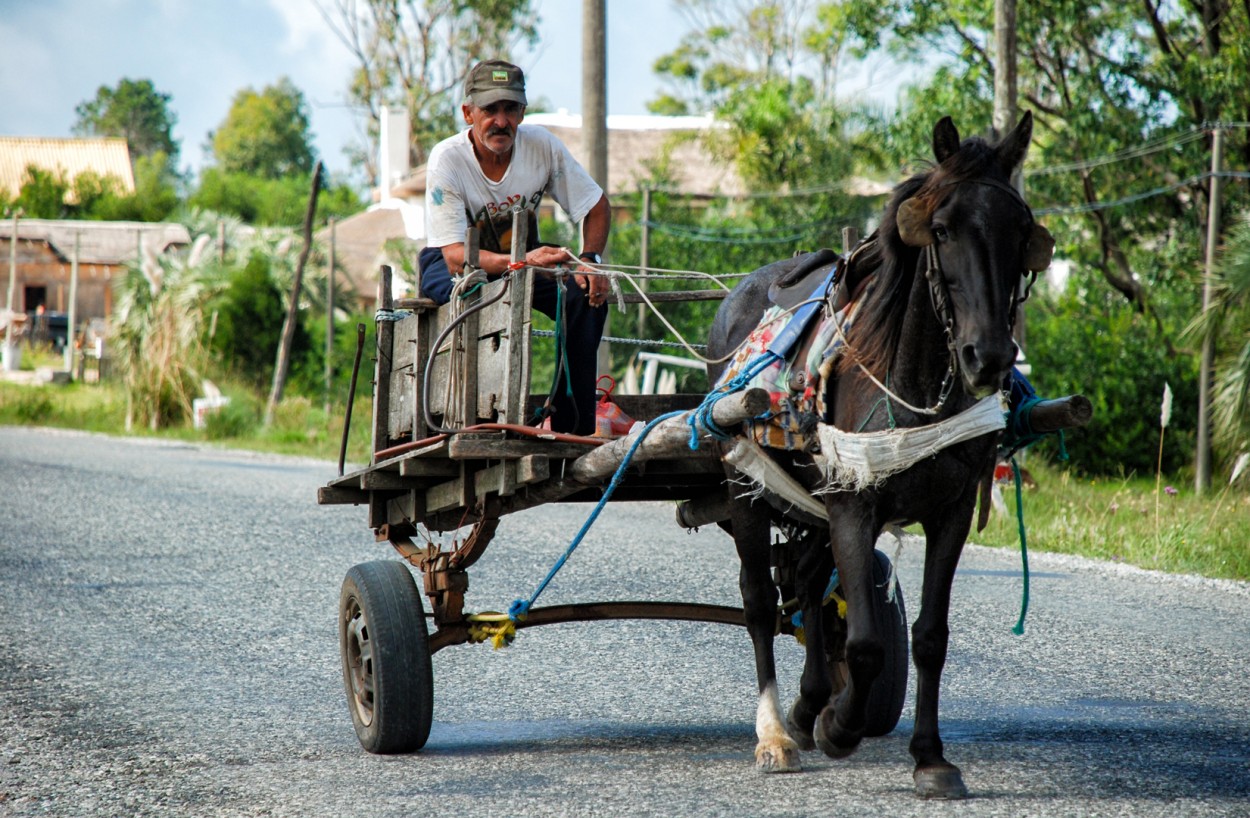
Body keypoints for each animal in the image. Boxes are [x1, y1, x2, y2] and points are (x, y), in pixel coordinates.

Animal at [710, 111, 1050, 800]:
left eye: (1020, 231)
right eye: (941, 230)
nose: (988, 357)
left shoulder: (949, 512)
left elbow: (930, 637)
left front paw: (930, 757)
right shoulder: (853, 505)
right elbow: (866, 642)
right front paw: (843, 727)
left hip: (811, 501)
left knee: (808, 585)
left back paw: (809, 702)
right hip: (747, 486)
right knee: (759, 601)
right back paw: (777, 732)